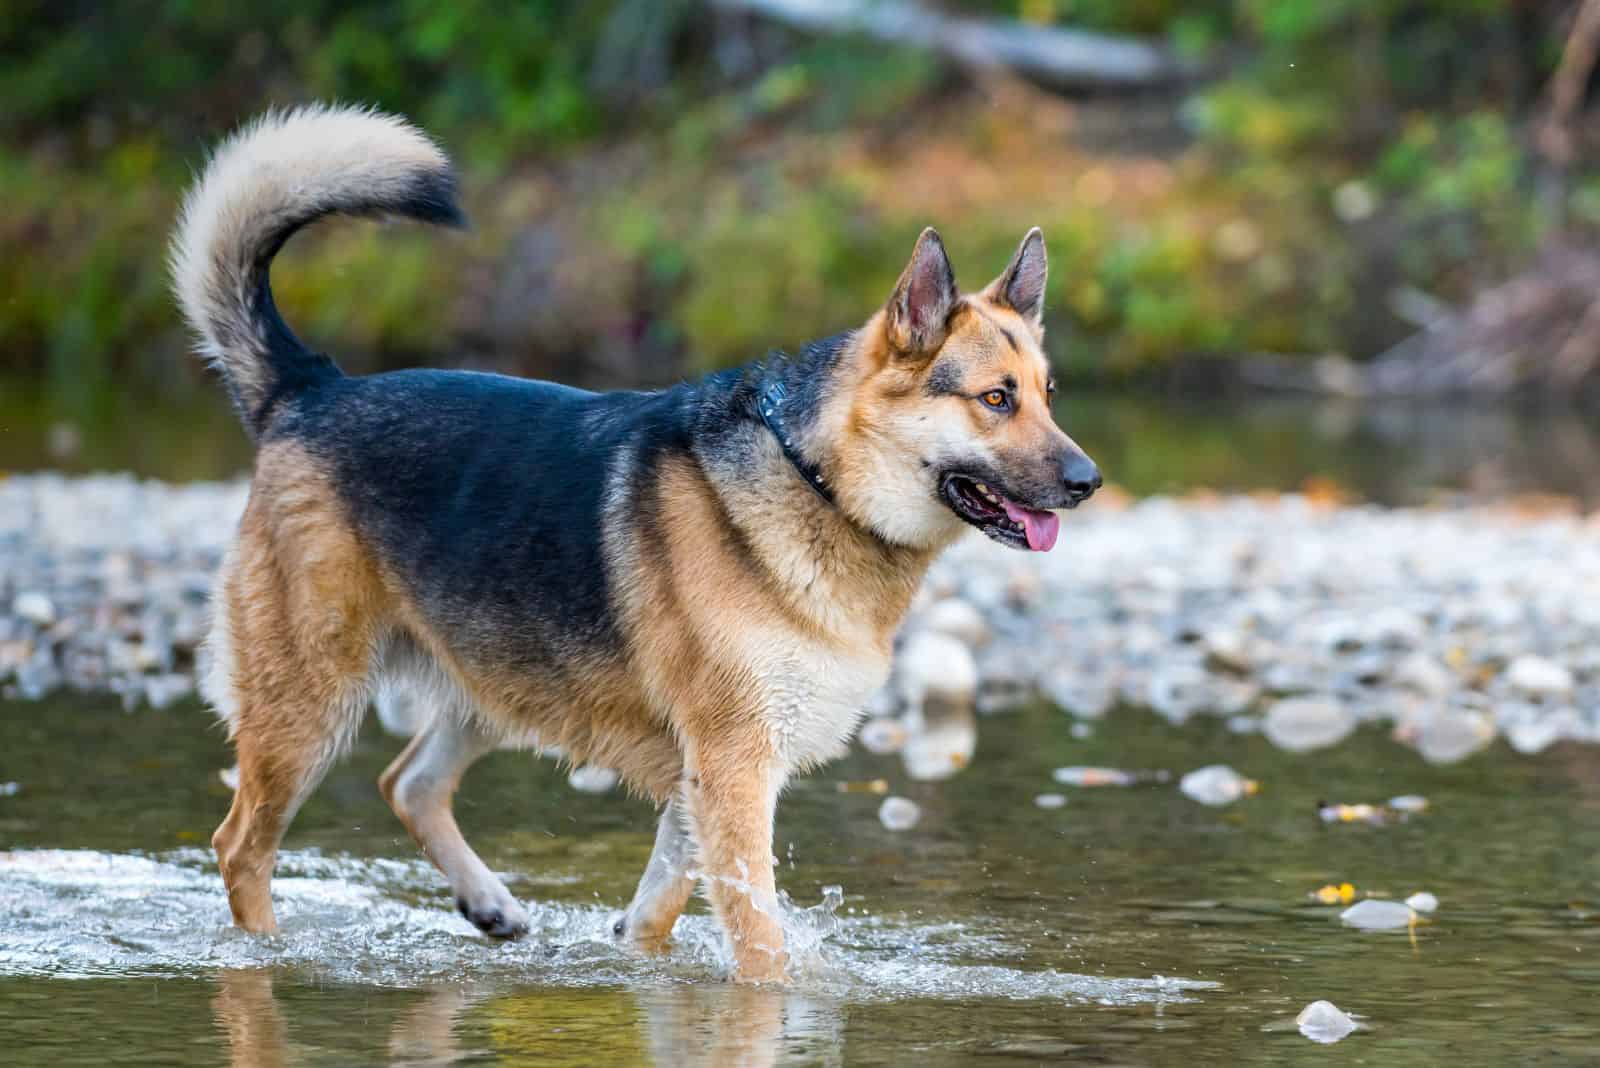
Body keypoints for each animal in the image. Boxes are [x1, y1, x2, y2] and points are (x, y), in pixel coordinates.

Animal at [172, 103, 1100, 978]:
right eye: (995, 399)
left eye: (1049, 394)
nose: (1090, 480)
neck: (818, 480)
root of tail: (310, 387)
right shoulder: (734, 771)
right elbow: (759, 942)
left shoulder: (704, 781)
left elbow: (658, 909)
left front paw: (632, 955)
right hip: (309, 705)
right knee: (241, 846)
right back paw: (266, 953)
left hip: (496, 678)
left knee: (409, 782)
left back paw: (489, 904)